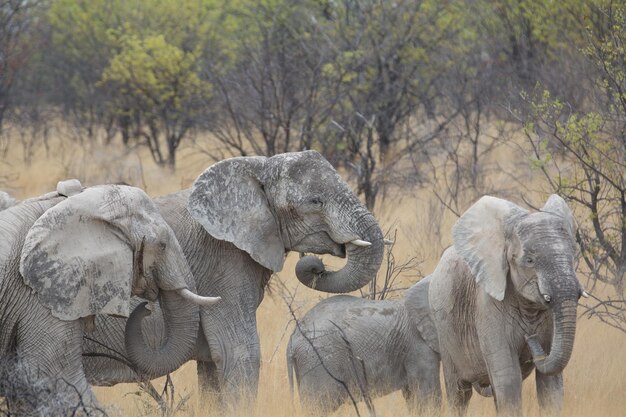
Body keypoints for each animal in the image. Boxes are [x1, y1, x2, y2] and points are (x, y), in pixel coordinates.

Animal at [81, 150, 386, 406]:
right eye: (315, 201)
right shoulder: (222, 262)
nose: (316, 266)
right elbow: (239, 354)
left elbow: (212, 366)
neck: (257, 168)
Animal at [426, 193, 584, 414]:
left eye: (573, 255)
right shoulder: (487, 306)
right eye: (529, 260)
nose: (531, 337)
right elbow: (508, 379)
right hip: (444, 329)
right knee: (459, 392)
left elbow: (551, 385)